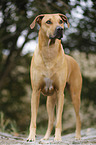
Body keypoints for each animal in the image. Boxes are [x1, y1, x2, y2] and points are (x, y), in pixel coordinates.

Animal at [27, 13, 82, 142]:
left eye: (61, 21)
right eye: (48, 22)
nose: (60, 29)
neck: (49, 51)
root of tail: (73, 60)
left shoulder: (60, 93)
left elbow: (59, 120)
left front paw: (57, 138)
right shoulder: (35, 92)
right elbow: (33, 119)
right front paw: (31, 137)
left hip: (75, 95)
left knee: (78, 117)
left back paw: (77, 136)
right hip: (50, 101)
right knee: (51, 120)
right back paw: (46, 137)